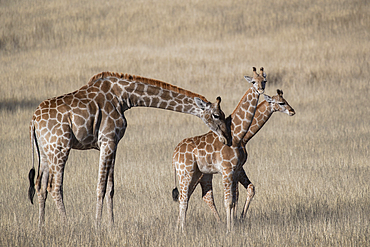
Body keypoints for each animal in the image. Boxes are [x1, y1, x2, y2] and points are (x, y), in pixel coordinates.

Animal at [28, 71, 231, 228]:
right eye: (216, 115)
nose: (226, 138)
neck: (124, 97)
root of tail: (34, 120)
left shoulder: (114, 143)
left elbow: (110, 187)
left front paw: (111, 225)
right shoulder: (107, 140)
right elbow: (100, 186)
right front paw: (97, 225)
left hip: (45, 152)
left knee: (40, 185)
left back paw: (40, 226)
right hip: (60, 147)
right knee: (54, 186)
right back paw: (67, 224)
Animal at [171, 66, 266, 232]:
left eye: (265, 80)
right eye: (253, 81)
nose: (260, 89)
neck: (237, 135)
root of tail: (174, 154)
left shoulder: (235, 170)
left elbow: (234, 200)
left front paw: (233, 226)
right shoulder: (227, 170)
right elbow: (228, 201)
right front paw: (229, 230)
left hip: (196, 173)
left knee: (186, 197)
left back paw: (179, 228)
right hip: (185, 172)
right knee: (183, 199)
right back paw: (182, 230)